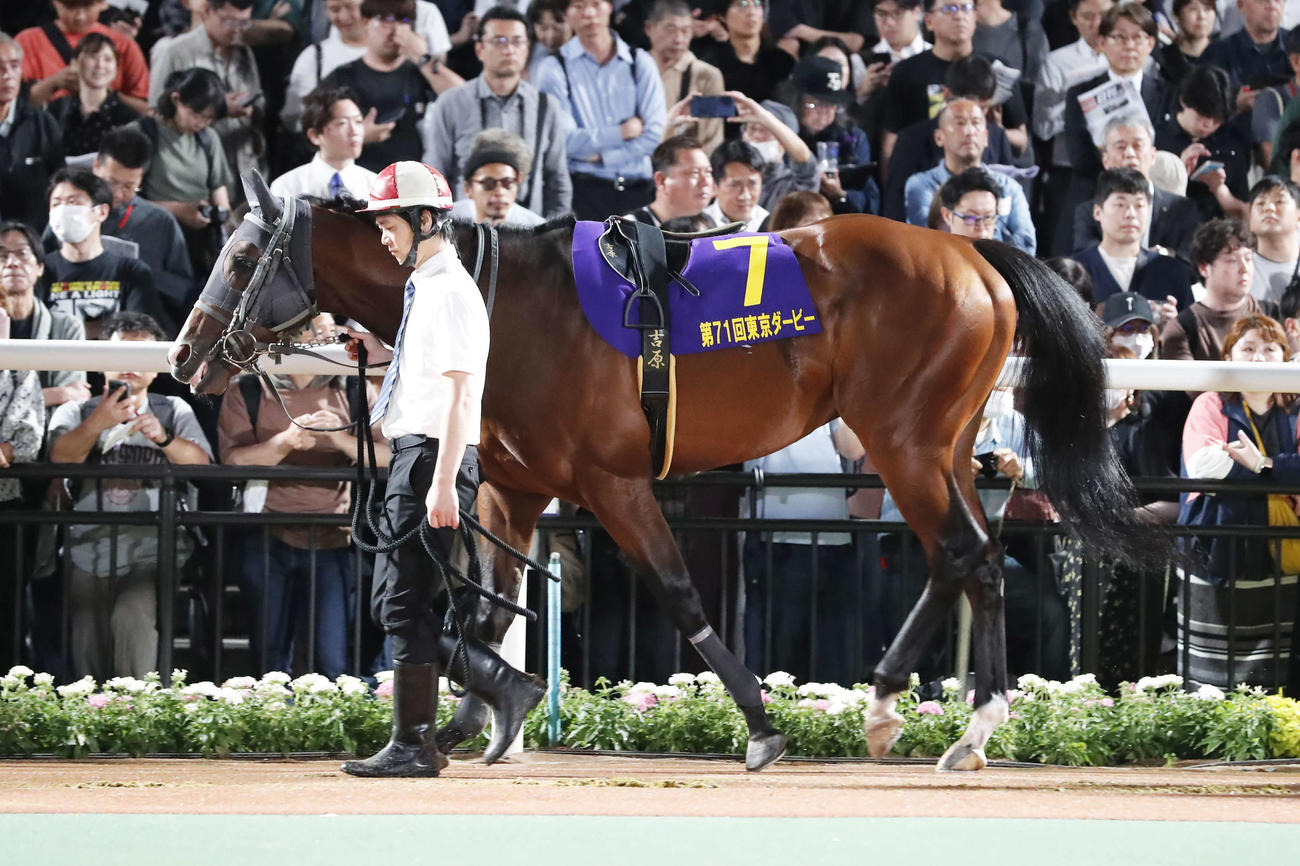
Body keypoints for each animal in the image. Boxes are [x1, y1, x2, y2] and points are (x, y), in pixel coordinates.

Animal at [169, 173, 1160, 772]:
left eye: (243, 256)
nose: (183, 358)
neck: (501, 301)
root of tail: (968, 253)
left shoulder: (614, 483)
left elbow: (680, 596)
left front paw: (760, 725)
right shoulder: (514, 490)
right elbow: (486, 614)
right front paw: (466, 723)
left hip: (903, 441)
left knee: (963, 554)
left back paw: (929, 714)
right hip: (940, 446)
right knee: (971, 560)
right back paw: (934, 718)